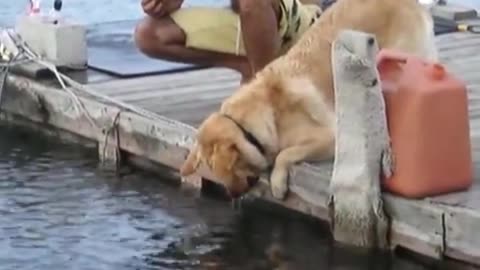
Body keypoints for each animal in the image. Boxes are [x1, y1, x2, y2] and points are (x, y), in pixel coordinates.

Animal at [179, 0, 438, 199]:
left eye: (229, 170)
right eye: (214, 172)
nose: (233, 196)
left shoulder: (329, 137)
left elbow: (285, 154)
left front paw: (277, 183)